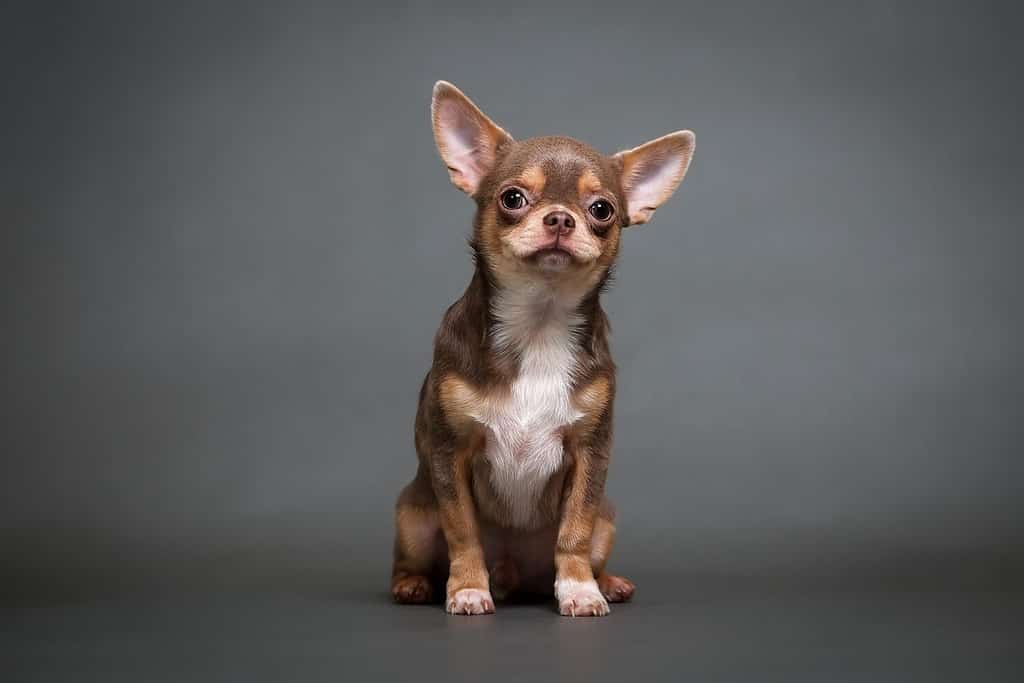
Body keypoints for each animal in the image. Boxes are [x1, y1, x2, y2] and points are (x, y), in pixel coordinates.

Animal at [391, 82, 696, 618]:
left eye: (602, 210)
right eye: (513, 198)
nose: (559, 218)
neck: (538, 325)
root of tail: (513, 573)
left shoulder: (589, 455)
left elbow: (574, 530)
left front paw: (579, 589)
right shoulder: (450, 451)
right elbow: (462, 530)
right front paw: (466, 588)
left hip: (607, 521)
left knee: (586, 542)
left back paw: (606, 581)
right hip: (412, 515)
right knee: (413, 557)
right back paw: (415, 585)